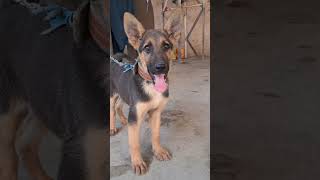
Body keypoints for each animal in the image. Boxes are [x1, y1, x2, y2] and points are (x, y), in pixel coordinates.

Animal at [109, 11, 180, 174]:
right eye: (147, 48)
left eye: (166, 46)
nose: (160, 67)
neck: (150, 86)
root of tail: (116, 56)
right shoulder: (135, 117)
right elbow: (134, 143)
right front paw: (137, 162)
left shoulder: (156, 112)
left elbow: (156, 134)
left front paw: (158, 151)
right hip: (112, 94)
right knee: (112, 109)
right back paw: (112, 127)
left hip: (123, 94)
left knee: (118, 106)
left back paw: (123, 120)